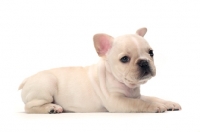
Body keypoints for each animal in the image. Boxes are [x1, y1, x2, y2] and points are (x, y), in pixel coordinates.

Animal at [18, 27, 181, 113]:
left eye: (151, 53)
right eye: (124, 59)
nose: (144, 62)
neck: (129, 87)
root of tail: (27, 80)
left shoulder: (136, 95)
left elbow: (152, 97)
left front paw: (168, 103)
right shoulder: (117, 101)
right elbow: (139, 104)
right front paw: (156, 107)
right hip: (46, 84)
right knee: (29, 106)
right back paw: (51, 108)